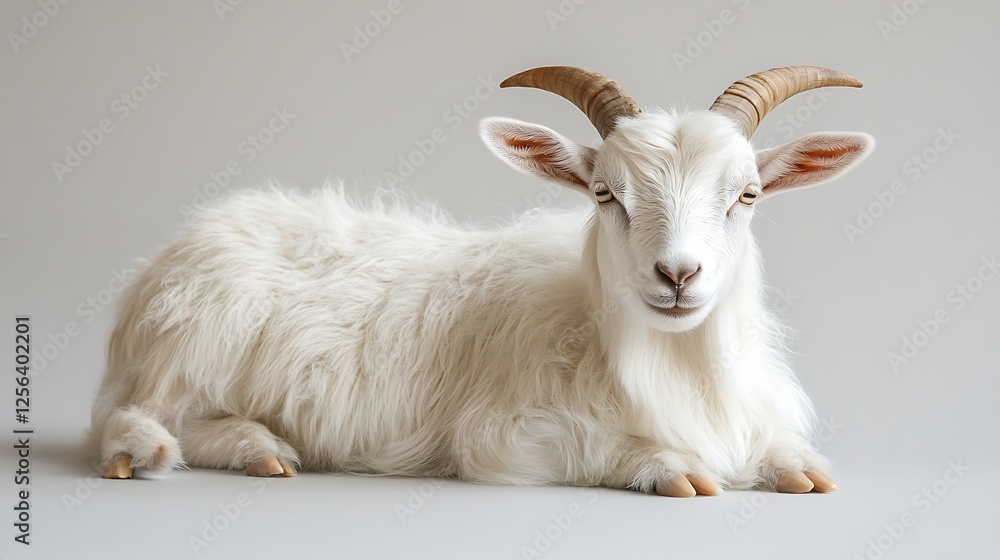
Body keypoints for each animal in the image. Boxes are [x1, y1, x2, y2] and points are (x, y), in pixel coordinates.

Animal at [91, 66, 873, 496]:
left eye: (747, 195)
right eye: (604, 194)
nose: (677, 274)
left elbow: (784, 450)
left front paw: (794, 465)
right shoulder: (505, 437)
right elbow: (602, 449)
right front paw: (667, 465)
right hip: (194, 337)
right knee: (134, 417)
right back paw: (201, 451)